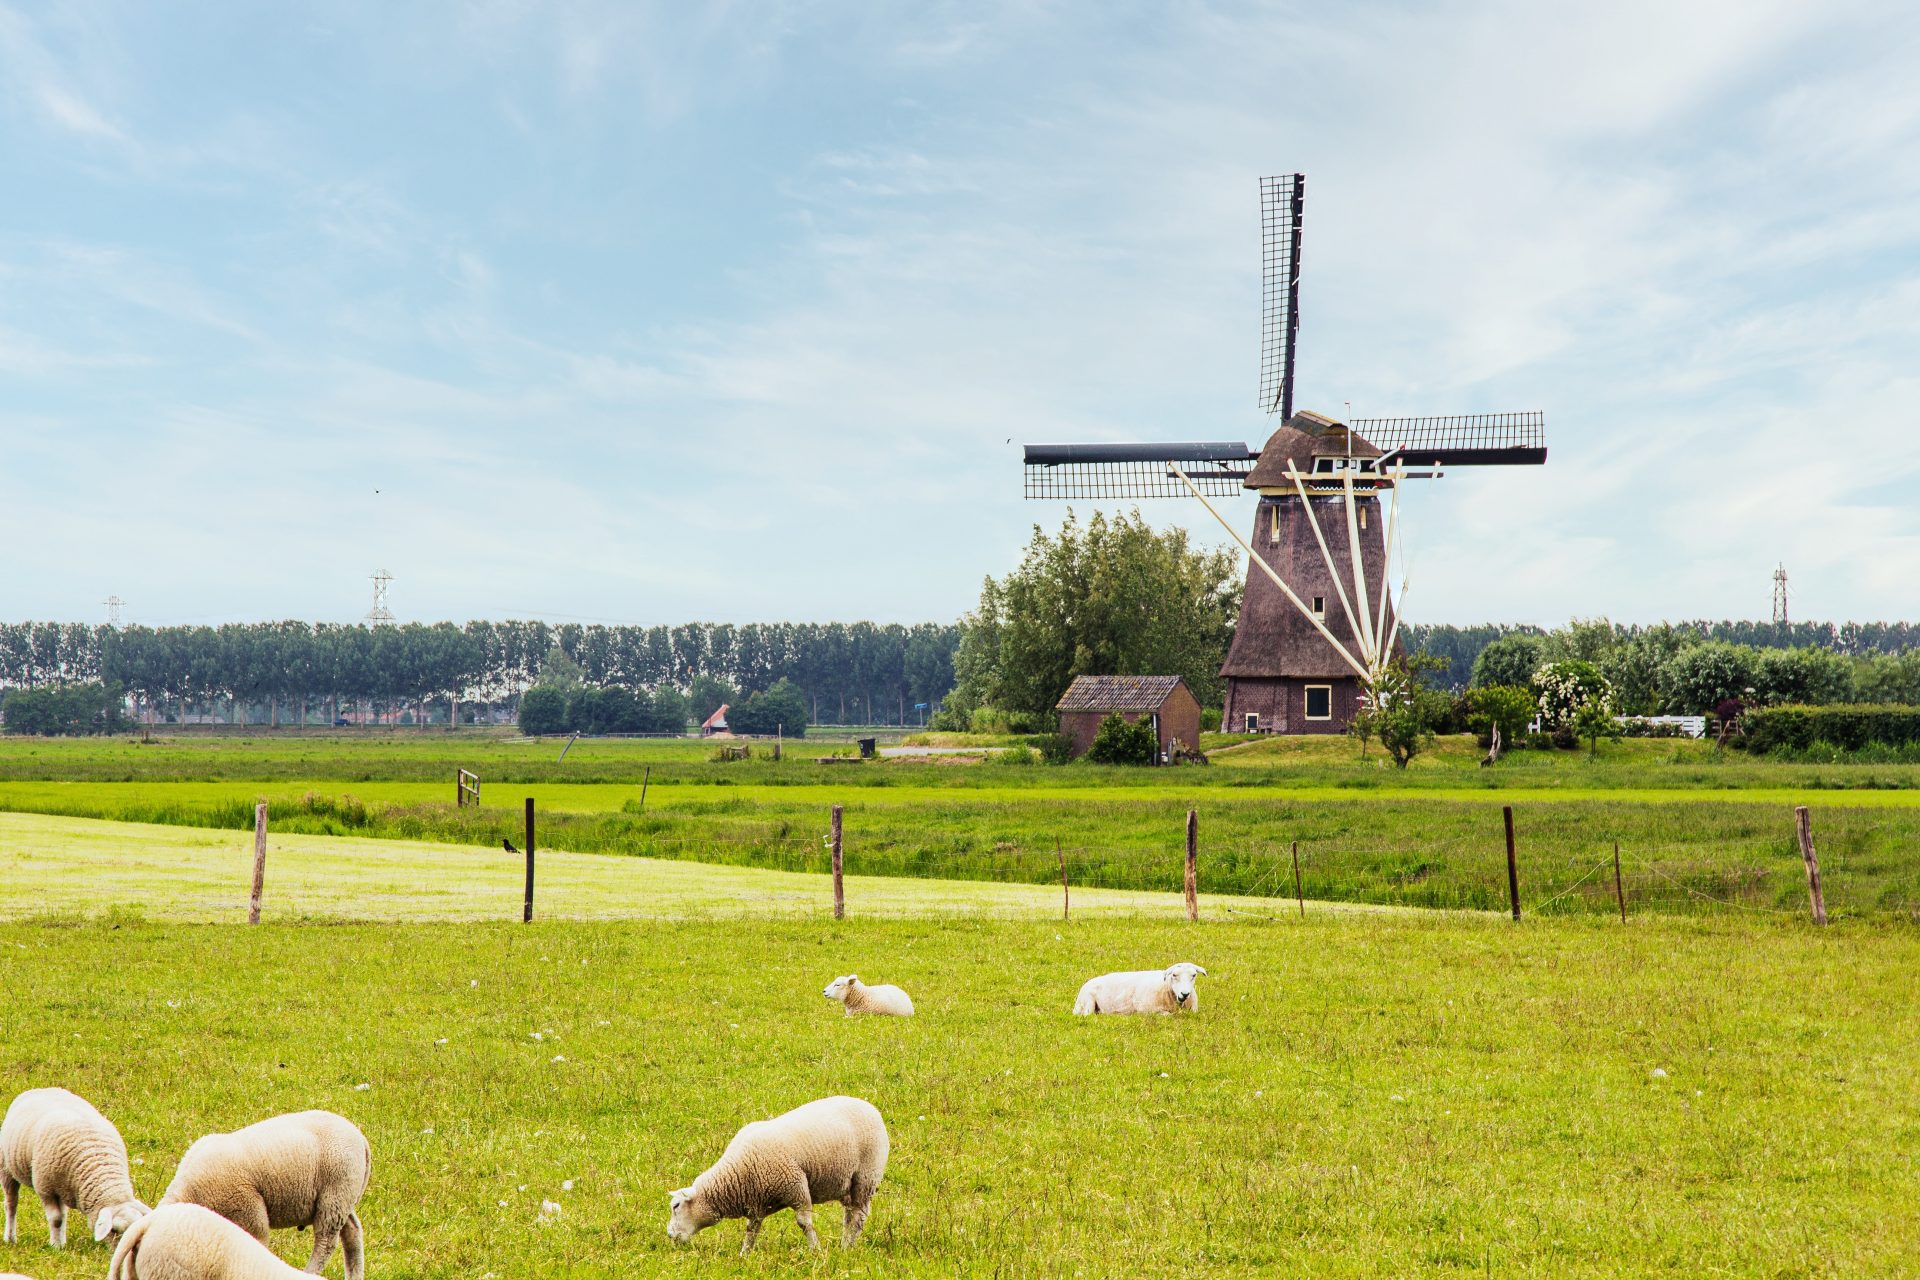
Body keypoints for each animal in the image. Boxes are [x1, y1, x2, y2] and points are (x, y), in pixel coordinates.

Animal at [0, 1090, 149, 1243]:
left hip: (62, 1186)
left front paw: (59, 1244)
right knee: (11, 1203)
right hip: (6, 1167)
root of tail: (42, 1089)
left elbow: (61, 1217)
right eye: (113, 1230)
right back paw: (10, 1238)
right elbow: (56, 1219)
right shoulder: (46, 1189)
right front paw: (55, 1245)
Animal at [159, 1113, 368, 1280]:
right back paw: (355, 1275)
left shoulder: (248, 1212)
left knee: (326, 1242)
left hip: (334, 1194)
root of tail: (361, 1139)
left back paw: (308, 1272)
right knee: (352, 1231)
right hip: (343, 1197)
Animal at [668, 1097, 890, 1258]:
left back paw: (846, 1247)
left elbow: (804, 1223)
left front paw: (815, 1250)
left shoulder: (797, 1187)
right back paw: (846, 1243)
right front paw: (744, 1254)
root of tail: (871, 1108)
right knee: (849, 1214)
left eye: (676, 1206)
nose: (670, 1235)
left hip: (866, 1176)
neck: (738, 1170)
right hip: (848, 1185)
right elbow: (751, 1230)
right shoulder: (757, 1202)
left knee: (859, 1215)